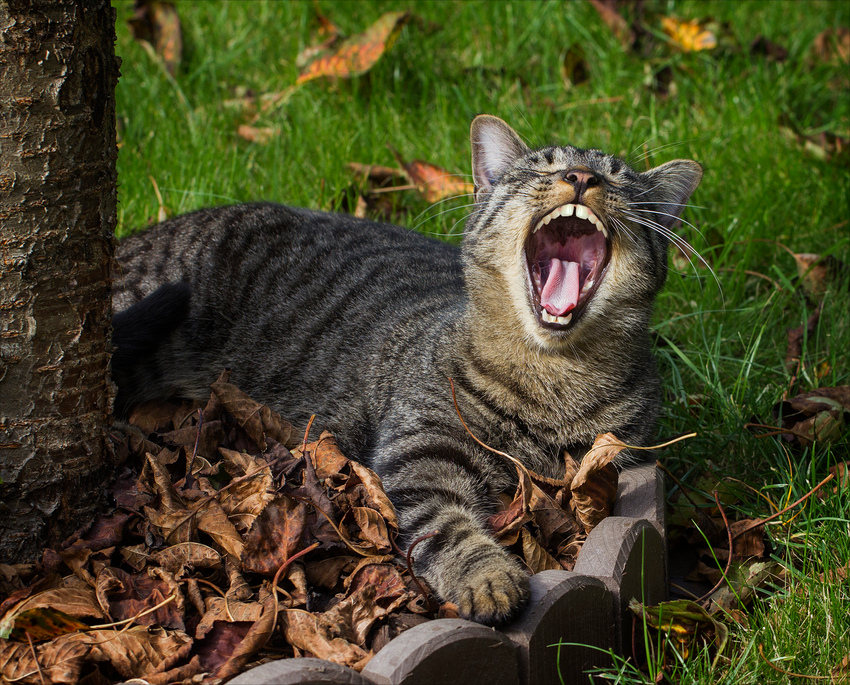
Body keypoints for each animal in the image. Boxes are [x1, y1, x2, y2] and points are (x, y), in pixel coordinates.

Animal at [109, 115, 700, 624]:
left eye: (617, 176)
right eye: (544, 167)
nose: (581, 177)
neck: (554, 378)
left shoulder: (620, 454)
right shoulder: (423, 450)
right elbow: (448, 528)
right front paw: (489, 578)